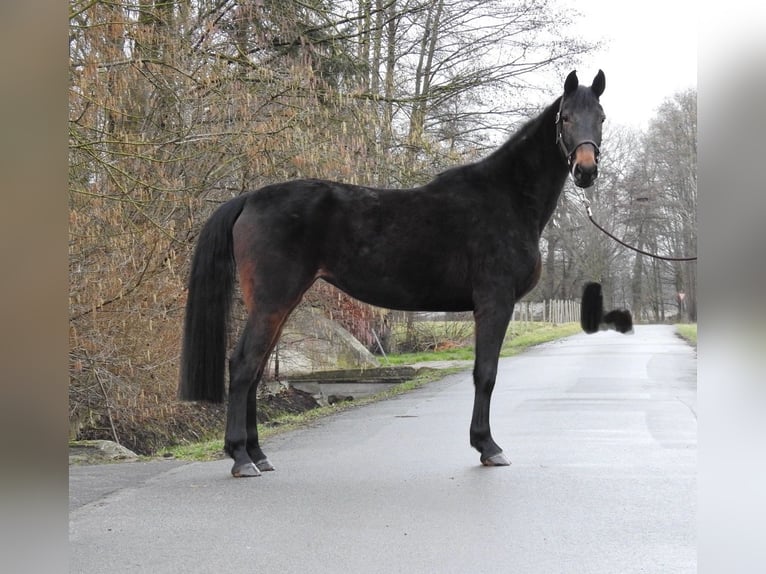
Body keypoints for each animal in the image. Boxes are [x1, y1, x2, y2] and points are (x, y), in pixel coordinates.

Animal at [178, 70, 608, 480]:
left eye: (601, 117)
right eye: (566, 118)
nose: (586, 171)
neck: (506, 198)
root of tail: (250, 198)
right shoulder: (494, 302)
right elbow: (486, 373)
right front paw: (488, 446)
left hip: (278, 304)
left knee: (257, 368)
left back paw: (257, 454)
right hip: (273, 301)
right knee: (244, 366)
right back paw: (240, 458)